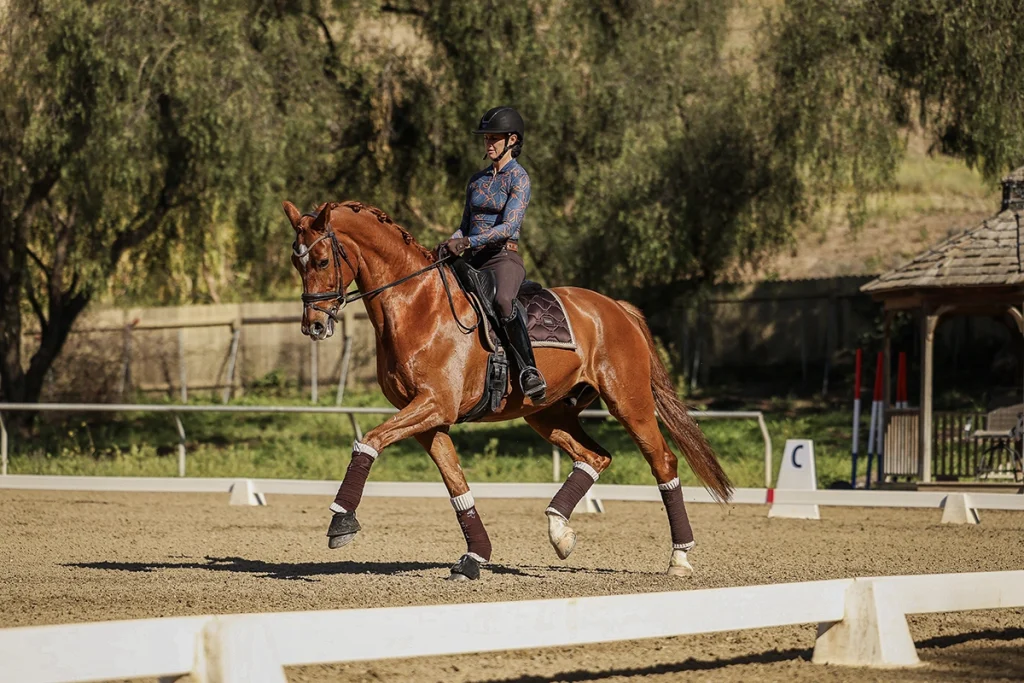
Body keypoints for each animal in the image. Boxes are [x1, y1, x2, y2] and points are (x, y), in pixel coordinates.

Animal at [284, 199, 733, 580]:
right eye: (295, 261)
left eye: (321, 260)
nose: (314, 326)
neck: (417, 305)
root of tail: (615, 308)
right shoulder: (429, 419)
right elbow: (456, 485)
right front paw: (474, 557)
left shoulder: (433, 405)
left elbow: (369, 441)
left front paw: (341, 521)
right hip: (547, 413)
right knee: (595, 456)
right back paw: (559, 532)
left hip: (629, 402)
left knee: (663, 463)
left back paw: (679, 558)